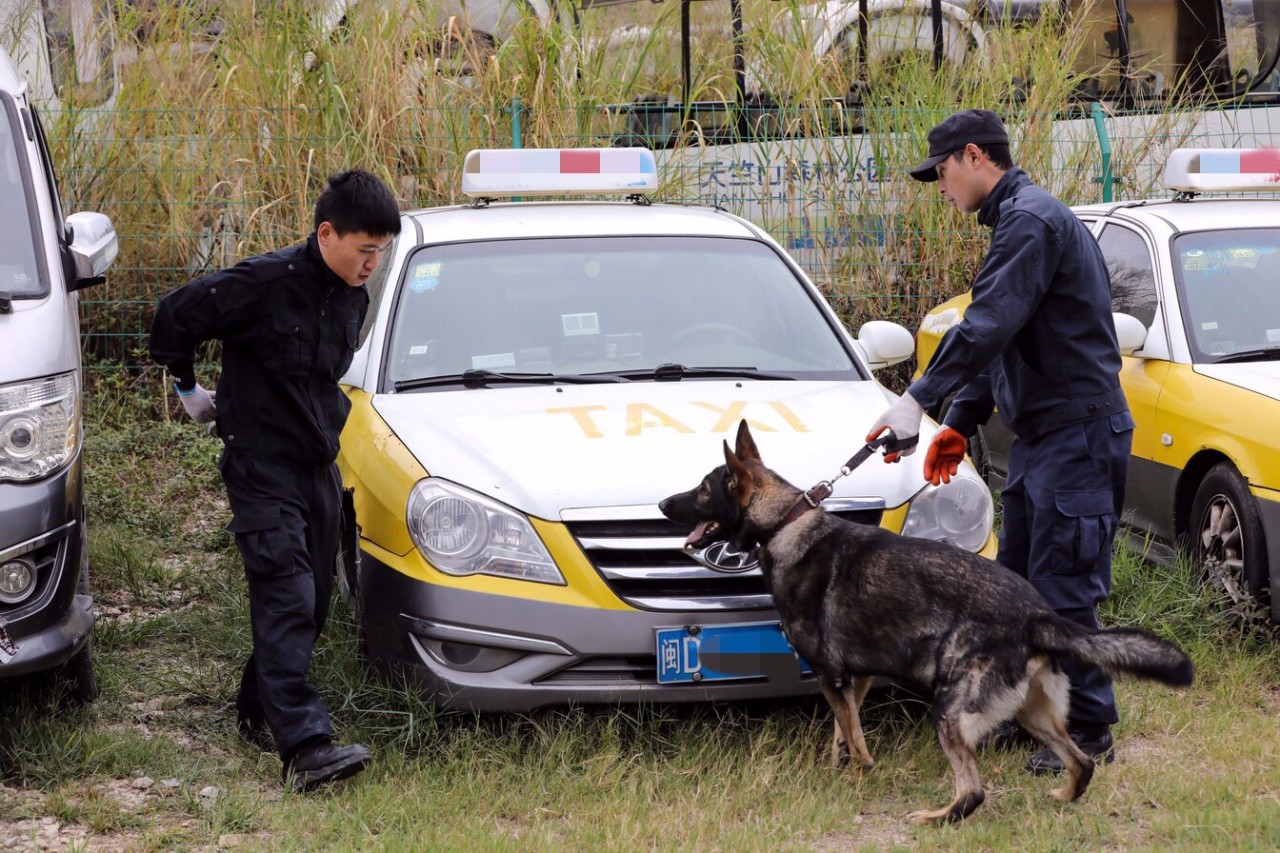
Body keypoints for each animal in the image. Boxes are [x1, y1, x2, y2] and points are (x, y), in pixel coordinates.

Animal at [660, 422, 1198, 819]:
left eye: (703, 491)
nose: (664, 504)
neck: (785, 522)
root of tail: (1035, 614)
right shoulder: (854, 677)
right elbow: (843, 728)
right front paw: (843, 765)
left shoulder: (832, 674)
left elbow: (853, 737)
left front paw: (857, 773)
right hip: (1033, 712)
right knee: (1082, 763)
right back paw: (1062, 797)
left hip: (949, 711)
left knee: (974, 792)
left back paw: (936, 818)